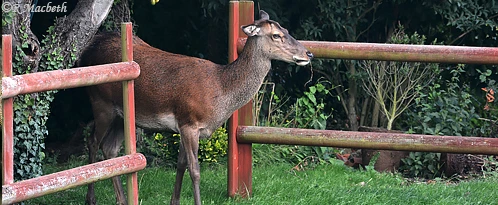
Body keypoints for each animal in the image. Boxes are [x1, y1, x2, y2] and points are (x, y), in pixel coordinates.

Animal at [78, 10, 312, 205]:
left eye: (287, 30)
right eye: (276, 35)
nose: (308, 54)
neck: (221, 92)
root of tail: (90, 48)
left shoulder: (183, 125)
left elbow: (181, 164)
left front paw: (174, 201)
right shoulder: (190, 122)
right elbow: (195, 169)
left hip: (123, 115)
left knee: (111, 148)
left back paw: (122, 199)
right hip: (101, 102)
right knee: (92, 142)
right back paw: (91, 198)